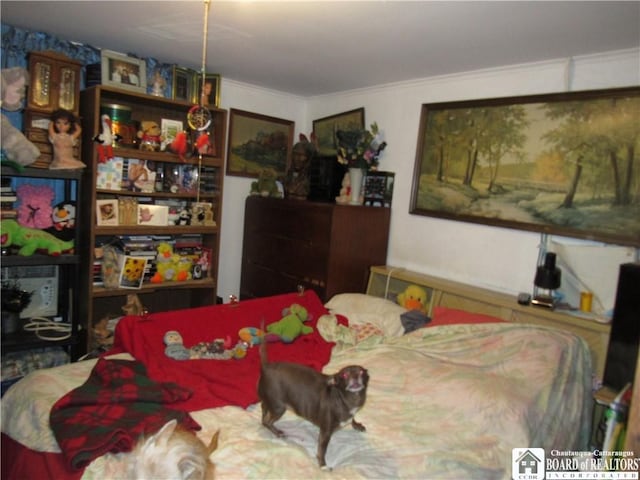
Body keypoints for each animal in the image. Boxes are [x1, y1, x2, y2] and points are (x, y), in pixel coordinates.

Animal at [255, 338, 364, 468]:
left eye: (362, 372)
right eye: (345, 374)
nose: (355, 376)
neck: (346, 400)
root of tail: (265, 367)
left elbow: (352, 419)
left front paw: (357, 425)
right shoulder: (325, 433)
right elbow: (322, 450)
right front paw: (323, 465)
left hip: (270, 400)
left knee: (263, 408)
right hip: (278, 408)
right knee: (267, 421)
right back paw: (277, 432)